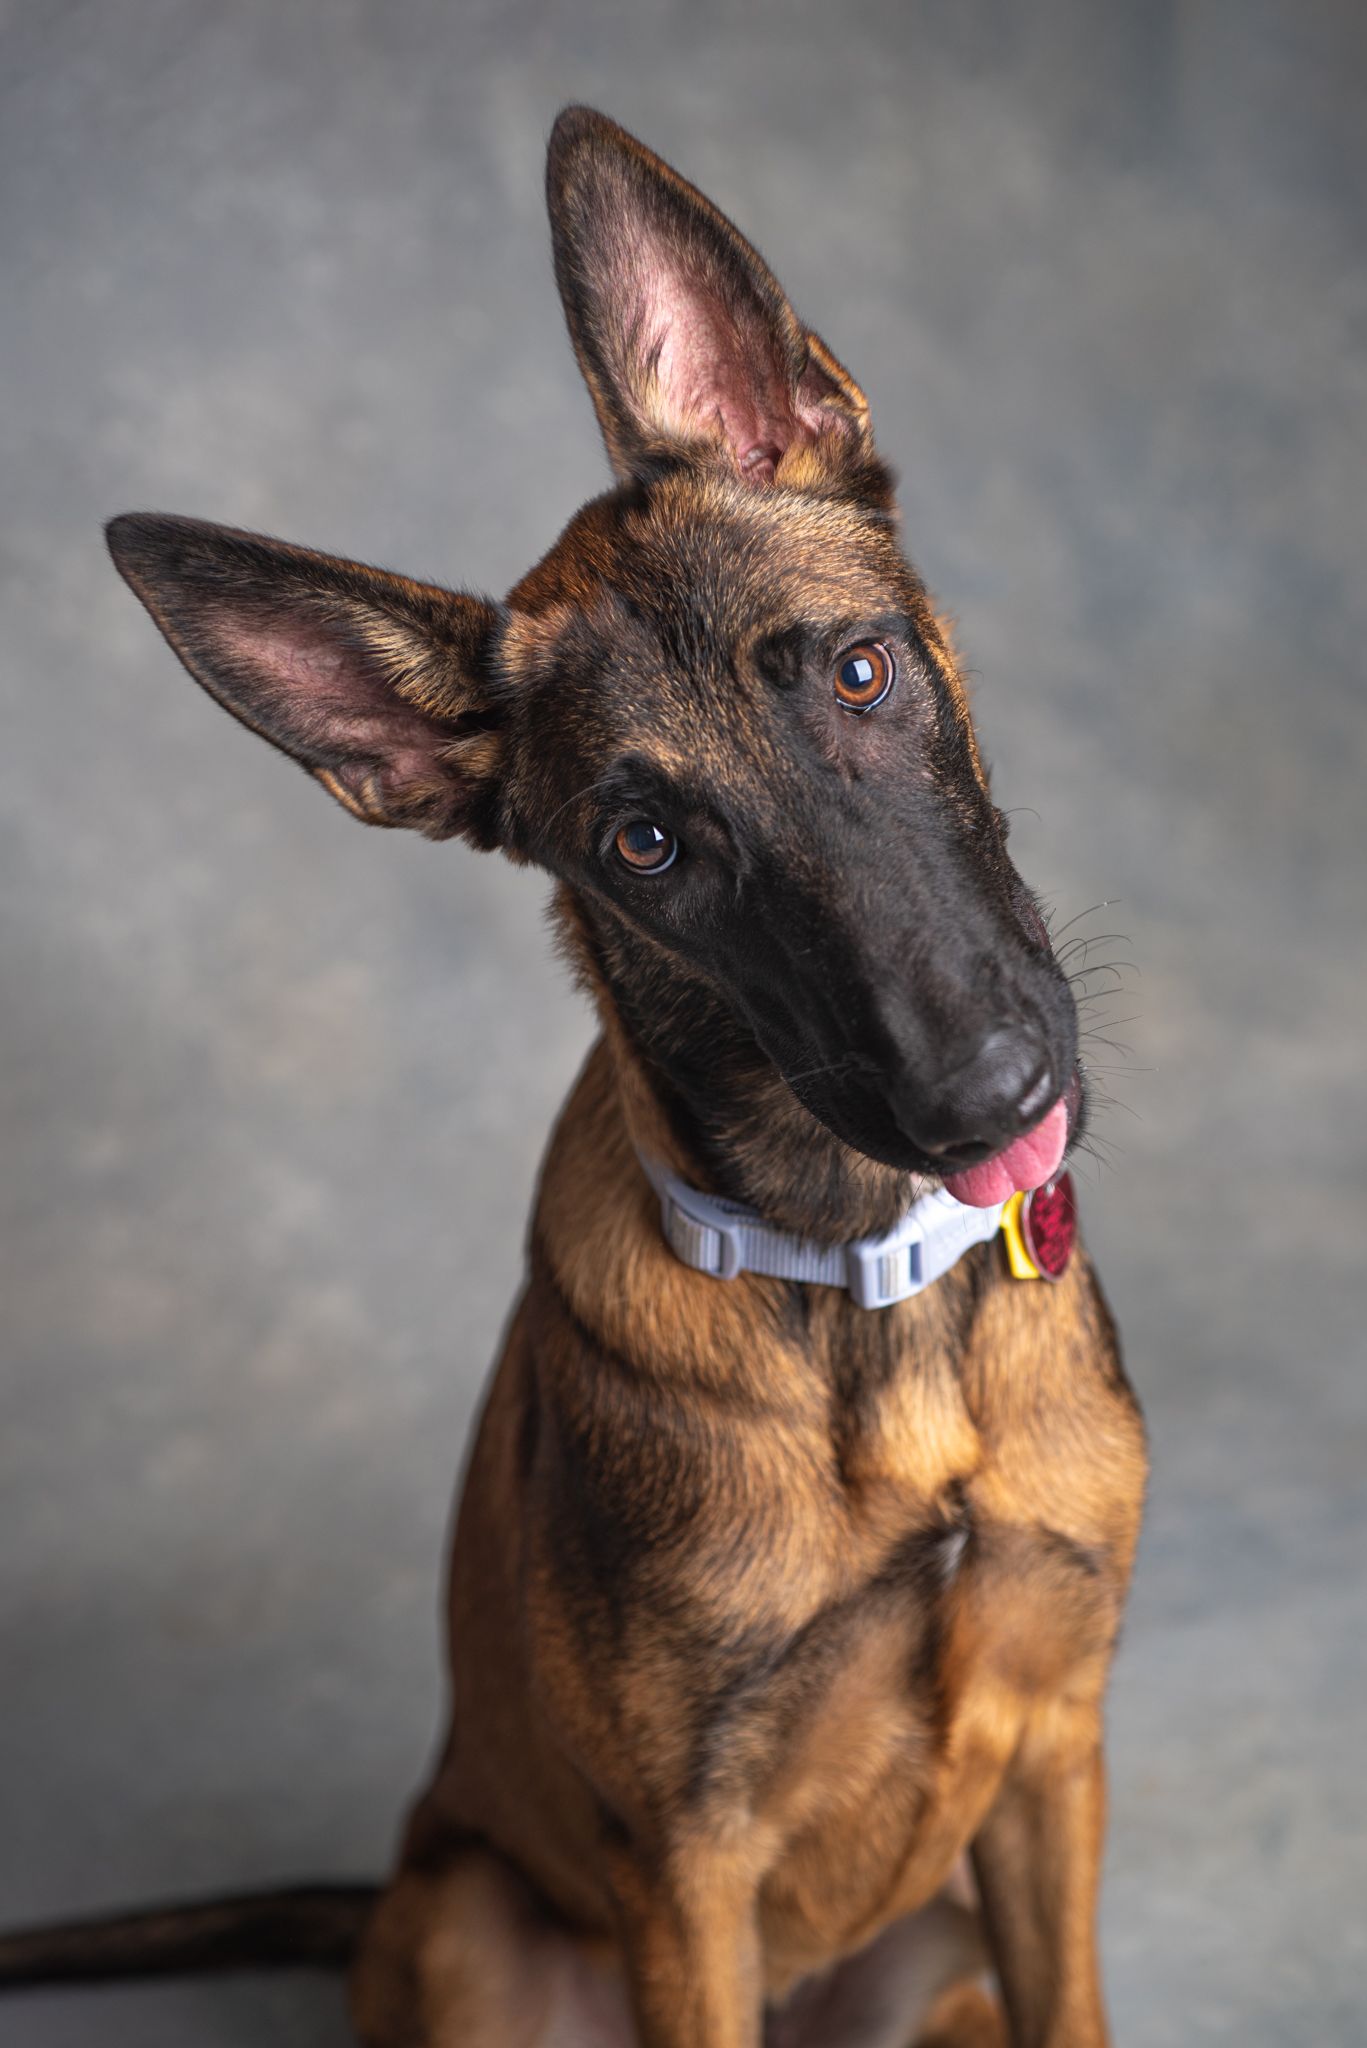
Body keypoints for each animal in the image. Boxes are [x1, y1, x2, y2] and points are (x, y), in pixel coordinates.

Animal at [0, 108, 1147, 2048]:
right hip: (475, 1924)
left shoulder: (1053, 1752)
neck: (862, 1293)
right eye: (648, 844)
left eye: (859, 670)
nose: (980, 1095)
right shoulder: (685, 1868)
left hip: (943, 1960)